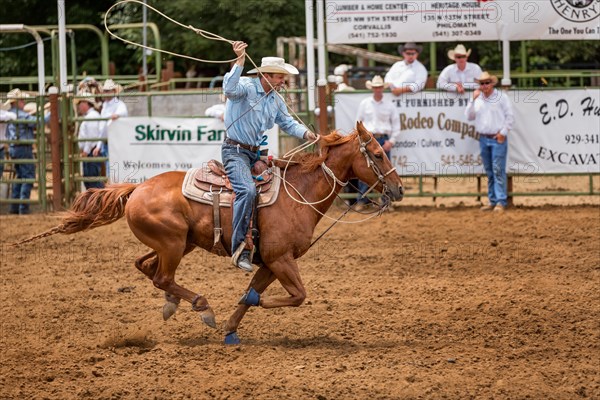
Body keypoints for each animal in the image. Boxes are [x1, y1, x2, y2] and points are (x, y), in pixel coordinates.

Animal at [18, 122, 404, 344]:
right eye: (377, 153)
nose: (399, 189)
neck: (299, 193)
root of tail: (137, 188)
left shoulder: (269, 262)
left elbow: (252, 293)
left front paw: (232, 328)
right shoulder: (281, 259)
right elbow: (296, 296)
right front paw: (242, 308)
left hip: (179, 243)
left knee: (145, 267)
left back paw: (174, 304)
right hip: (173, 244)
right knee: (160, 276)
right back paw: (201, 307)